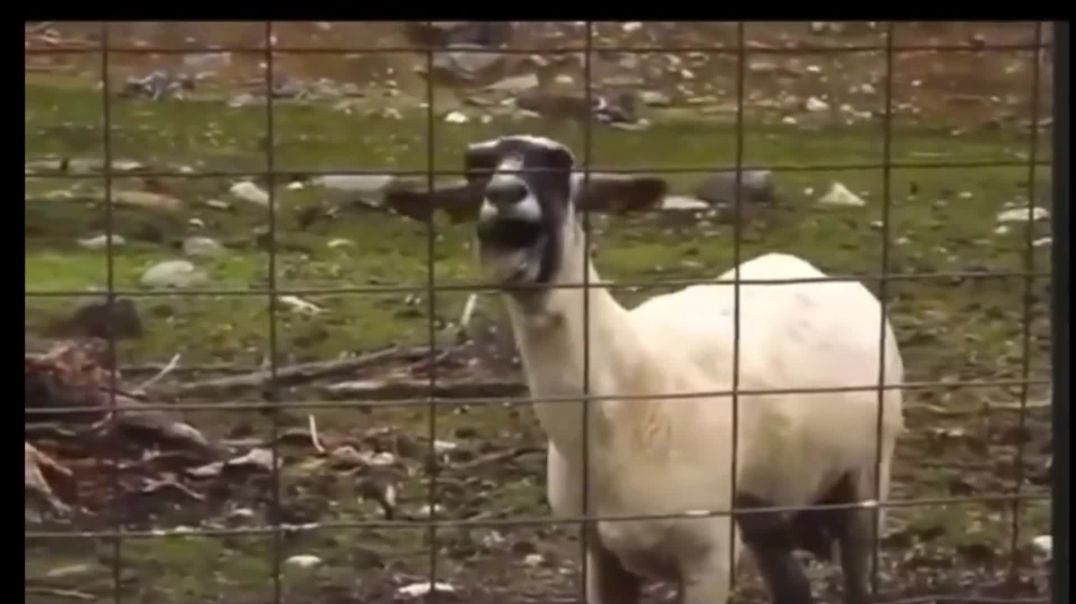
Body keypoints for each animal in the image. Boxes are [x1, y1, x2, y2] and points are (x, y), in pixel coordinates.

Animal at [394, 135, 905, 604]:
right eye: (477, 168)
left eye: (559, 164)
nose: (504, 193)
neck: (627, 395)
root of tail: (813, 270)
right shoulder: (599, 553)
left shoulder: (708, 555)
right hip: (768, 510)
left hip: (866, 478)